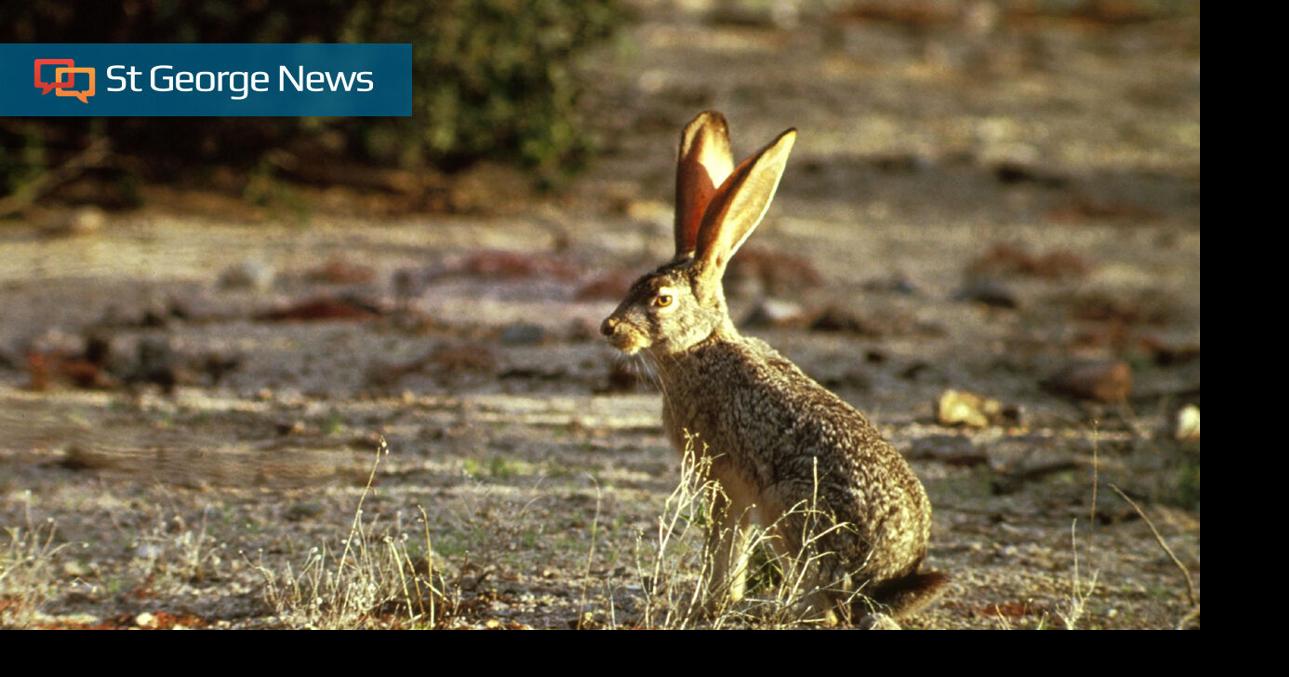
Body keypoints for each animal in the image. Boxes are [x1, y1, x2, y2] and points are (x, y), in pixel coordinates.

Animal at [600, 111, 947, 626]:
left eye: (662, 299)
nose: (610, 328)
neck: (700, 346)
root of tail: (888, 581)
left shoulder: (725, 479)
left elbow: (723, 544)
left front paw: (711, 604)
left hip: (792, 510)